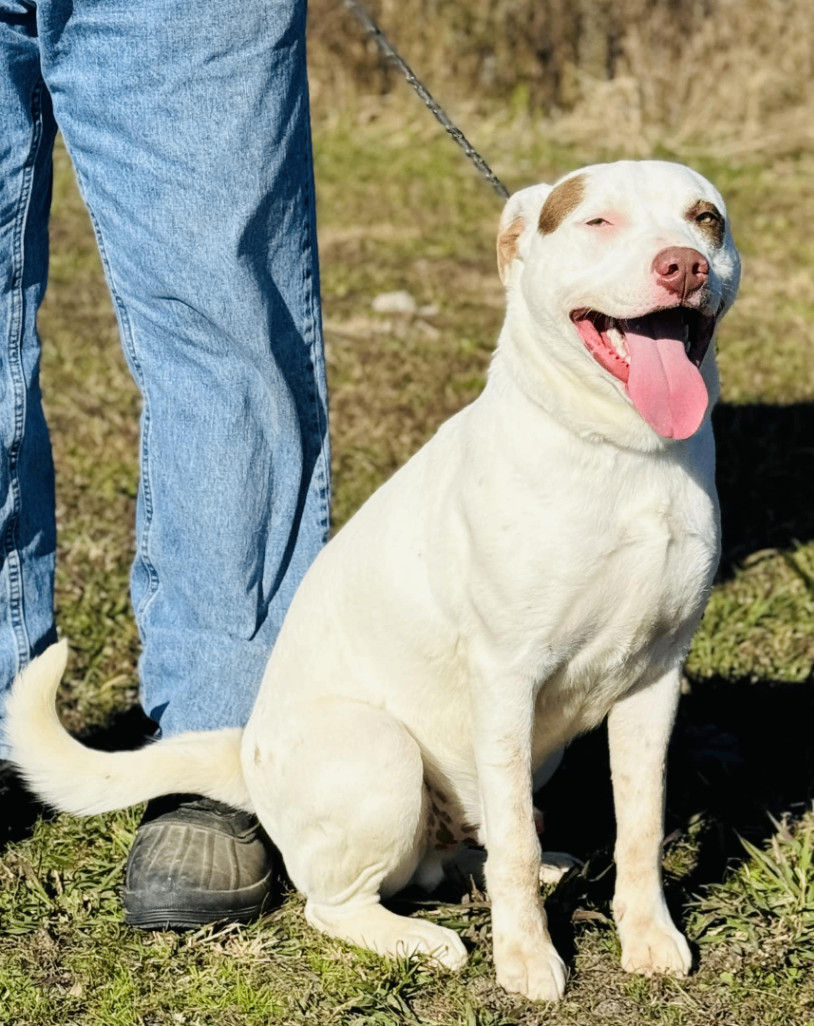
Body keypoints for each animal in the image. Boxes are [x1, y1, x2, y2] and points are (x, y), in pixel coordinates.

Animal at [6, 160, 739, 1001]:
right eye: (597, 223)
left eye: (706, 219)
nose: (682, 265)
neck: (626, 455)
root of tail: (245, 752)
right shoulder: (507, 678)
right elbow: (516, 842)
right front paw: (526, 958)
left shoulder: (655, 680)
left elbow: (638, 826)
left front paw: (648, 936)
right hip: (381, 751)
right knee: (344, 901)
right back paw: (420, 940)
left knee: (466, 847)